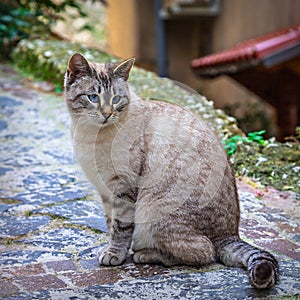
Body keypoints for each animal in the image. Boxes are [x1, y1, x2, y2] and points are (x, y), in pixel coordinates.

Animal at [64, 52, 280, 290]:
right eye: (93, 97)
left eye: (116, 99)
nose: (107, 113)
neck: (89, 135)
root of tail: (231, 234)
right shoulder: (105, 190)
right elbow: (111, 222)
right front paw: (112, 248)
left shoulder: (123, 188)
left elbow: (120, 228)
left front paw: (114, 254)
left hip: (153, 209)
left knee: (204, 253)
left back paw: (146, 254)